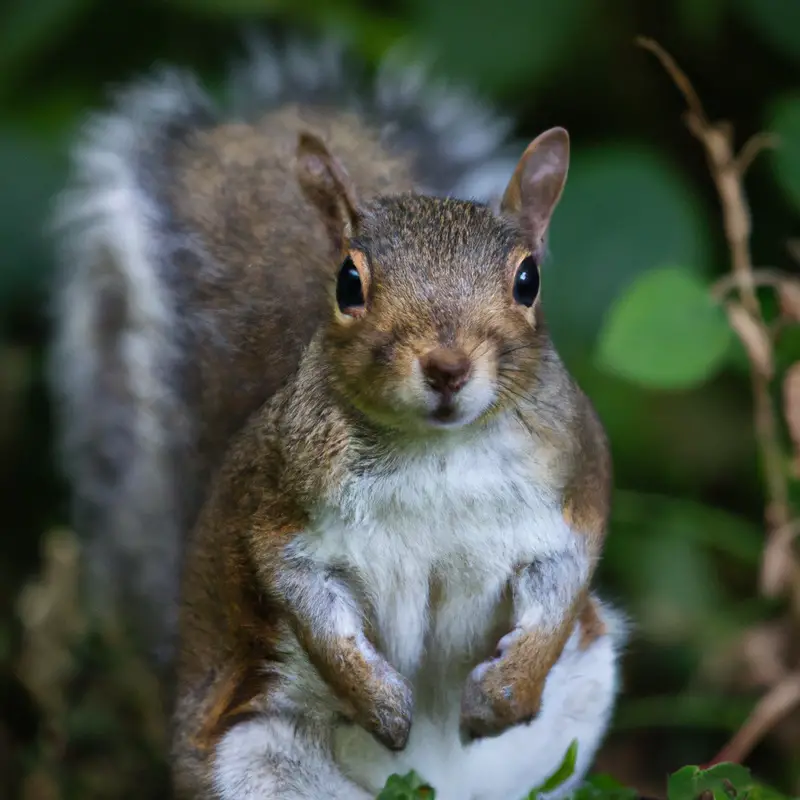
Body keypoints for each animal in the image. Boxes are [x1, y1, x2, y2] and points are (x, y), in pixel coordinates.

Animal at [50, 31, 628, 800]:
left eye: (528, 279)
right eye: (349, 282)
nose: (447, 367)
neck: (438, 452)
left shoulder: (573, 488)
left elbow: (563, 586)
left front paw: (505, 690)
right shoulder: (281, 515)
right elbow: (310, 608)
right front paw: (379, 703)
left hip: (579, 698)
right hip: (256, 764)